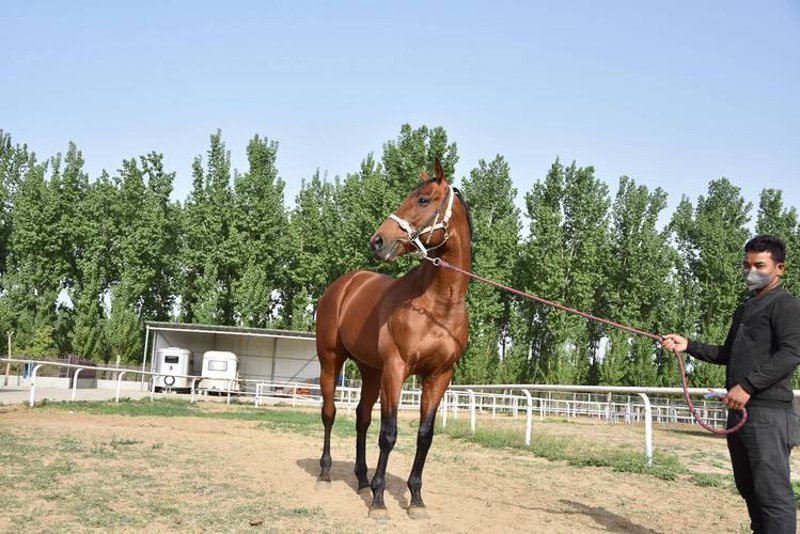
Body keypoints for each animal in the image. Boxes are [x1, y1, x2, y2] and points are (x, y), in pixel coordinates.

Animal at [314, 160, 472, 519]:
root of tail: (345, 285)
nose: (378, 240)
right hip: (331, 360)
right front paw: (379, 501)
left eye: (424, 200)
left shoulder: (439, 376)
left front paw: (415, 499)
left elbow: (424, 436)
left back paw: (361, 479)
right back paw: (326, 473)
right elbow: (389, 434)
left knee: (362, 418)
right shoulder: (396, 370)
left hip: (370, 371)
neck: (437, 306)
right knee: (329, 413)